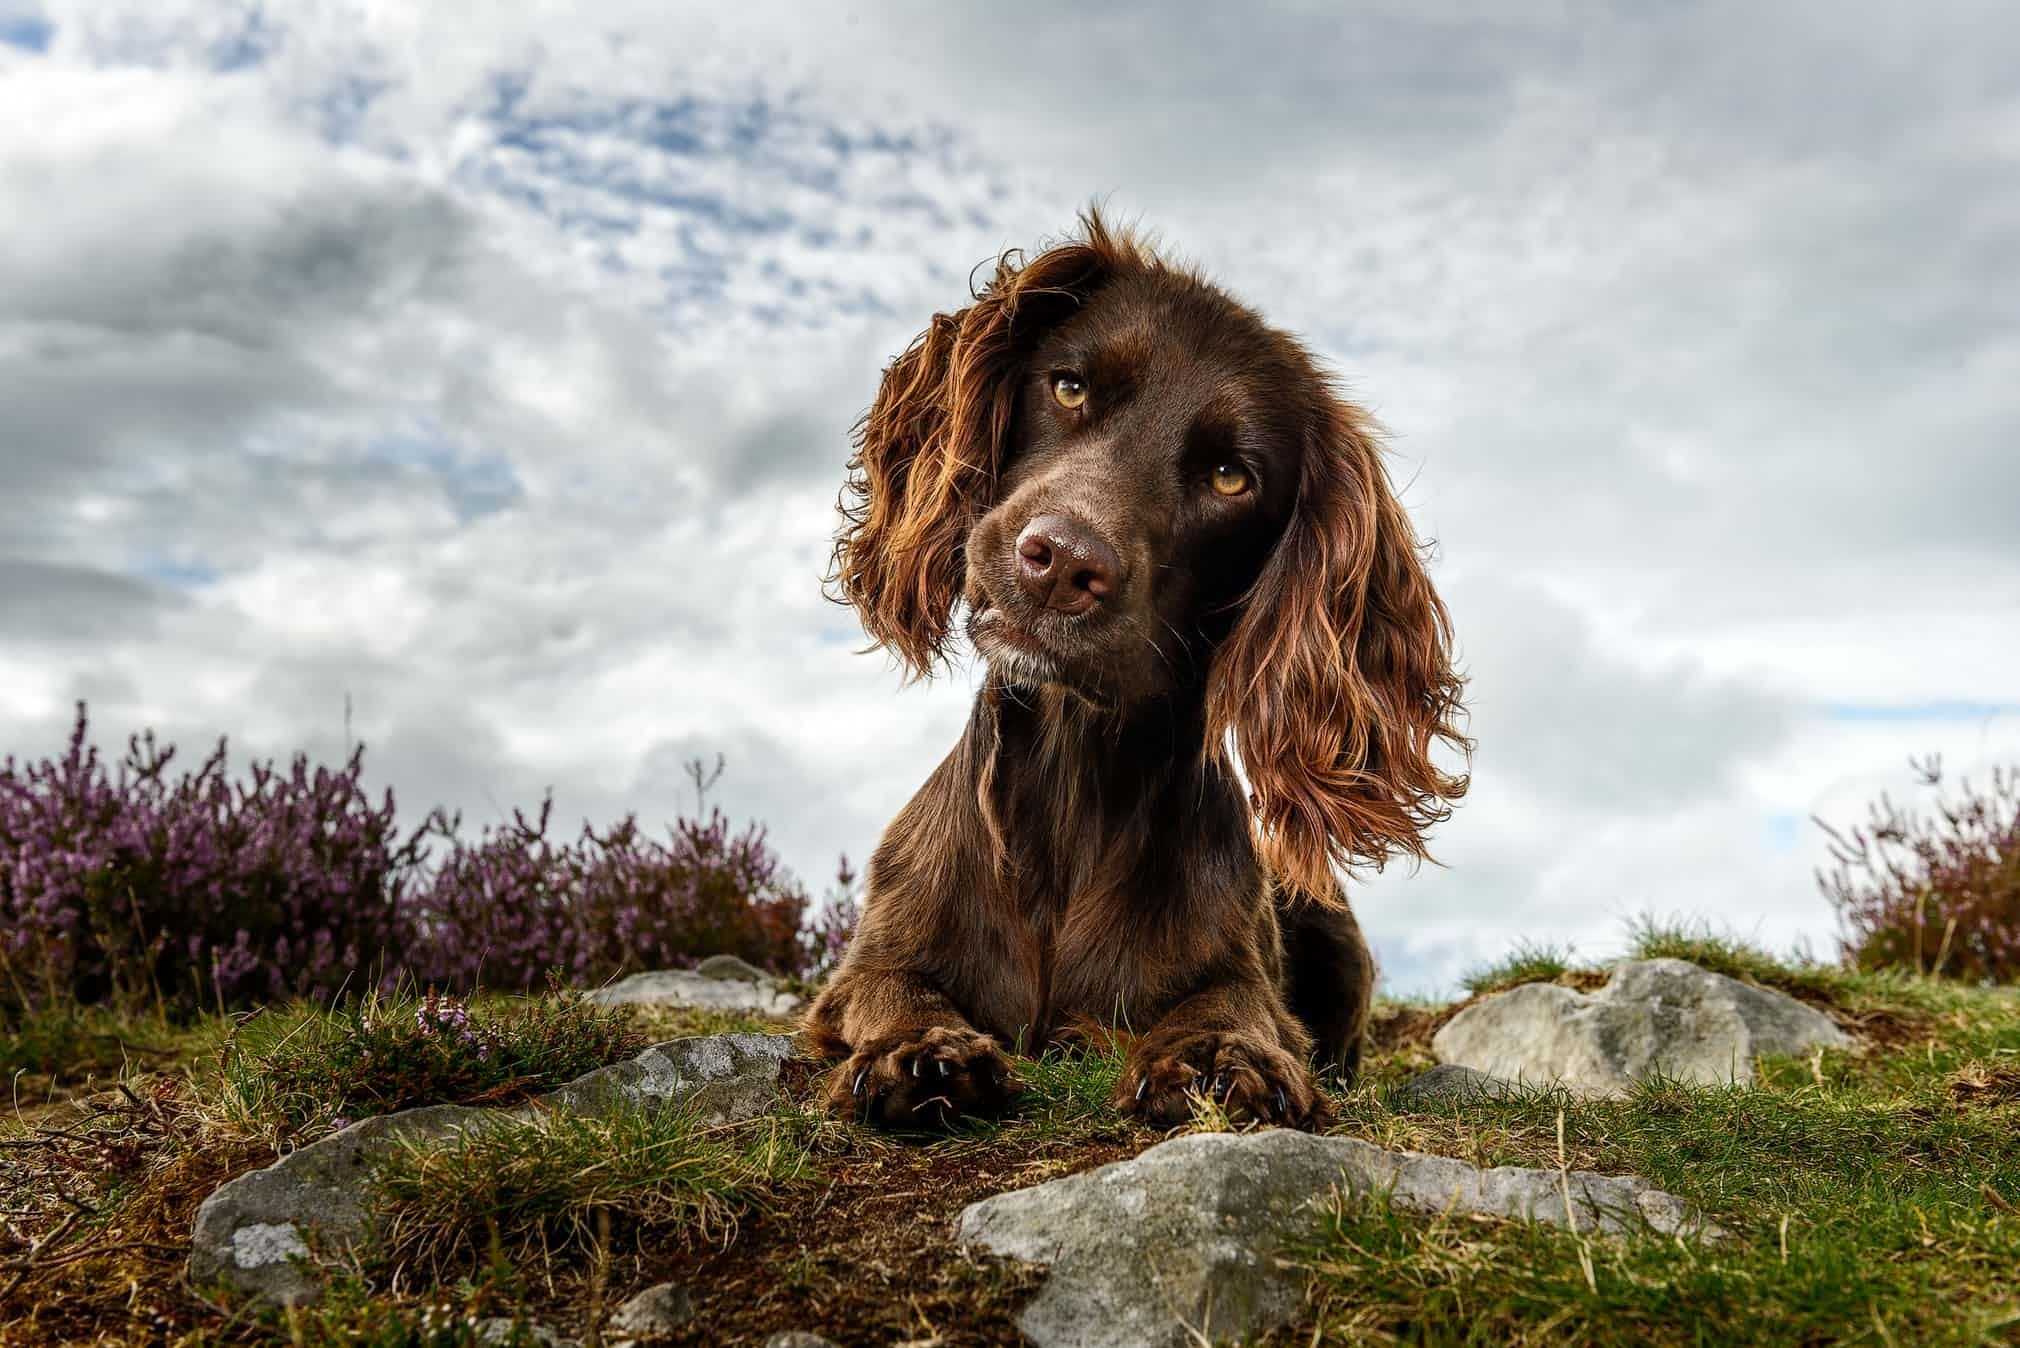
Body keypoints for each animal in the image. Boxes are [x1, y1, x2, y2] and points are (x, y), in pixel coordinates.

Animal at [803, 216, 1470, 1131]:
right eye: (1070, 387)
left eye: (1231, 475)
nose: (1060, 562)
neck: (1071, 778)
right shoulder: (865, 964)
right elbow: (889, 990)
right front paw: (920, 1053)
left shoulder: (1241, 969)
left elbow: (1233, 1005)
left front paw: (1221, 1057)